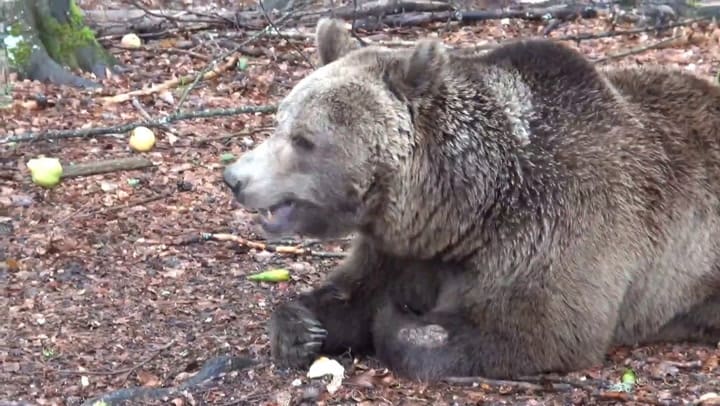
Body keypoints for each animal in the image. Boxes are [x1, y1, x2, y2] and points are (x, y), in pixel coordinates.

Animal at [222, 17, 720, 381]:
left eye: (304, 139)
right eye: (280, 120)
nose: (234, 178)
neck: (467, 208)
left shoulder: (559, 224)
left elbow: (532, 329)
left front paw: (398, 318)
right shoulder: (403, 247)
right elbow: (352, 291)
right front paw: (303, 327)